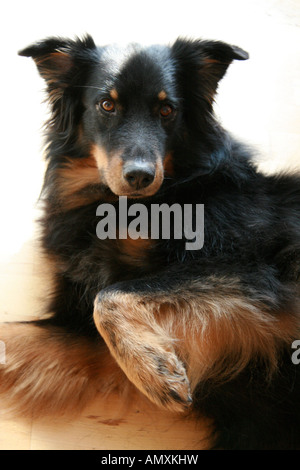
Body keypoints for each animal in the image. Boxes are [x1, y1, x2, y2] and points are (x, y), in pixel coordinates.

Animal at [0, 35, 300, 450]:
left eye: (167, 109)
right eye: (107, 105)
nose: (141, 176)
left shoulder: (247, 266)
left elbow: (110, 295)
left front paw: (156, 372)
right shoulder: (84, 337)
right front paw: (152, 362)